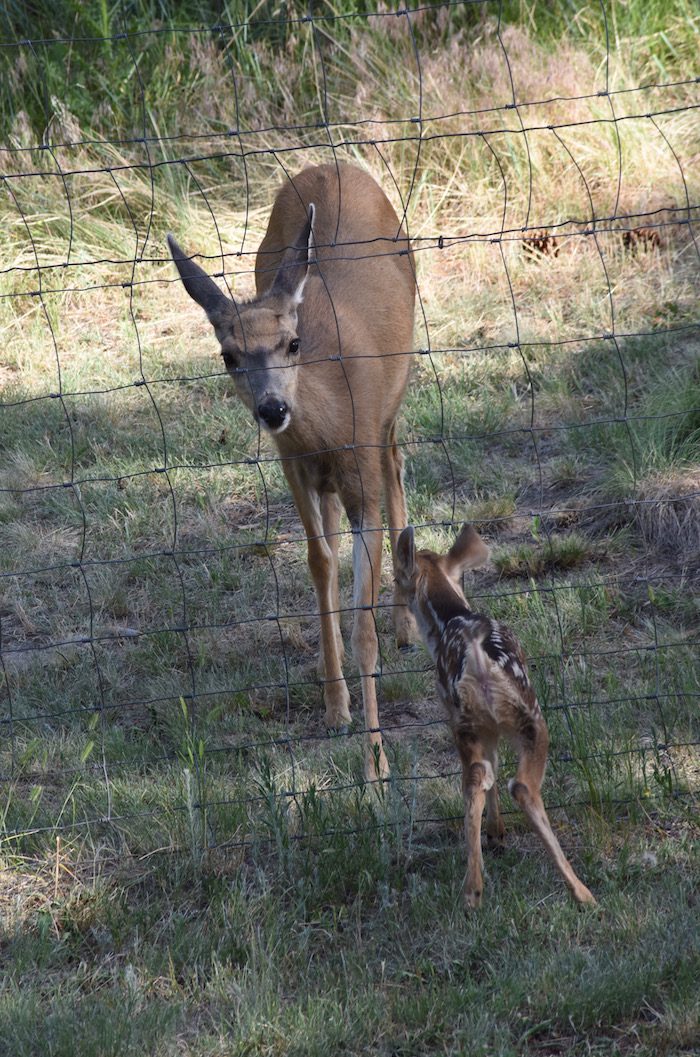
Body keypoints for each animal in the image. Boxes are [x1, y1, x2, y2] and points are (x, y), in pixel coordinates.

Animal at [167, 162, 418, 777]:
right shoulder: (294, 471)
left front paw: (376, 764)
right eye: (228, 355)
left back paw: (405, 626)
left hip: (393, 400)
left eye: (292, 342)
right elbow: (318, 562)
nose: (273, 409)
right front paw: (335, 708)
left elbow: (364, 625)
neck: (327, 425)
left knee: (397, 463)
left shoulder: (361, 468)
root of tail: (334, 166)